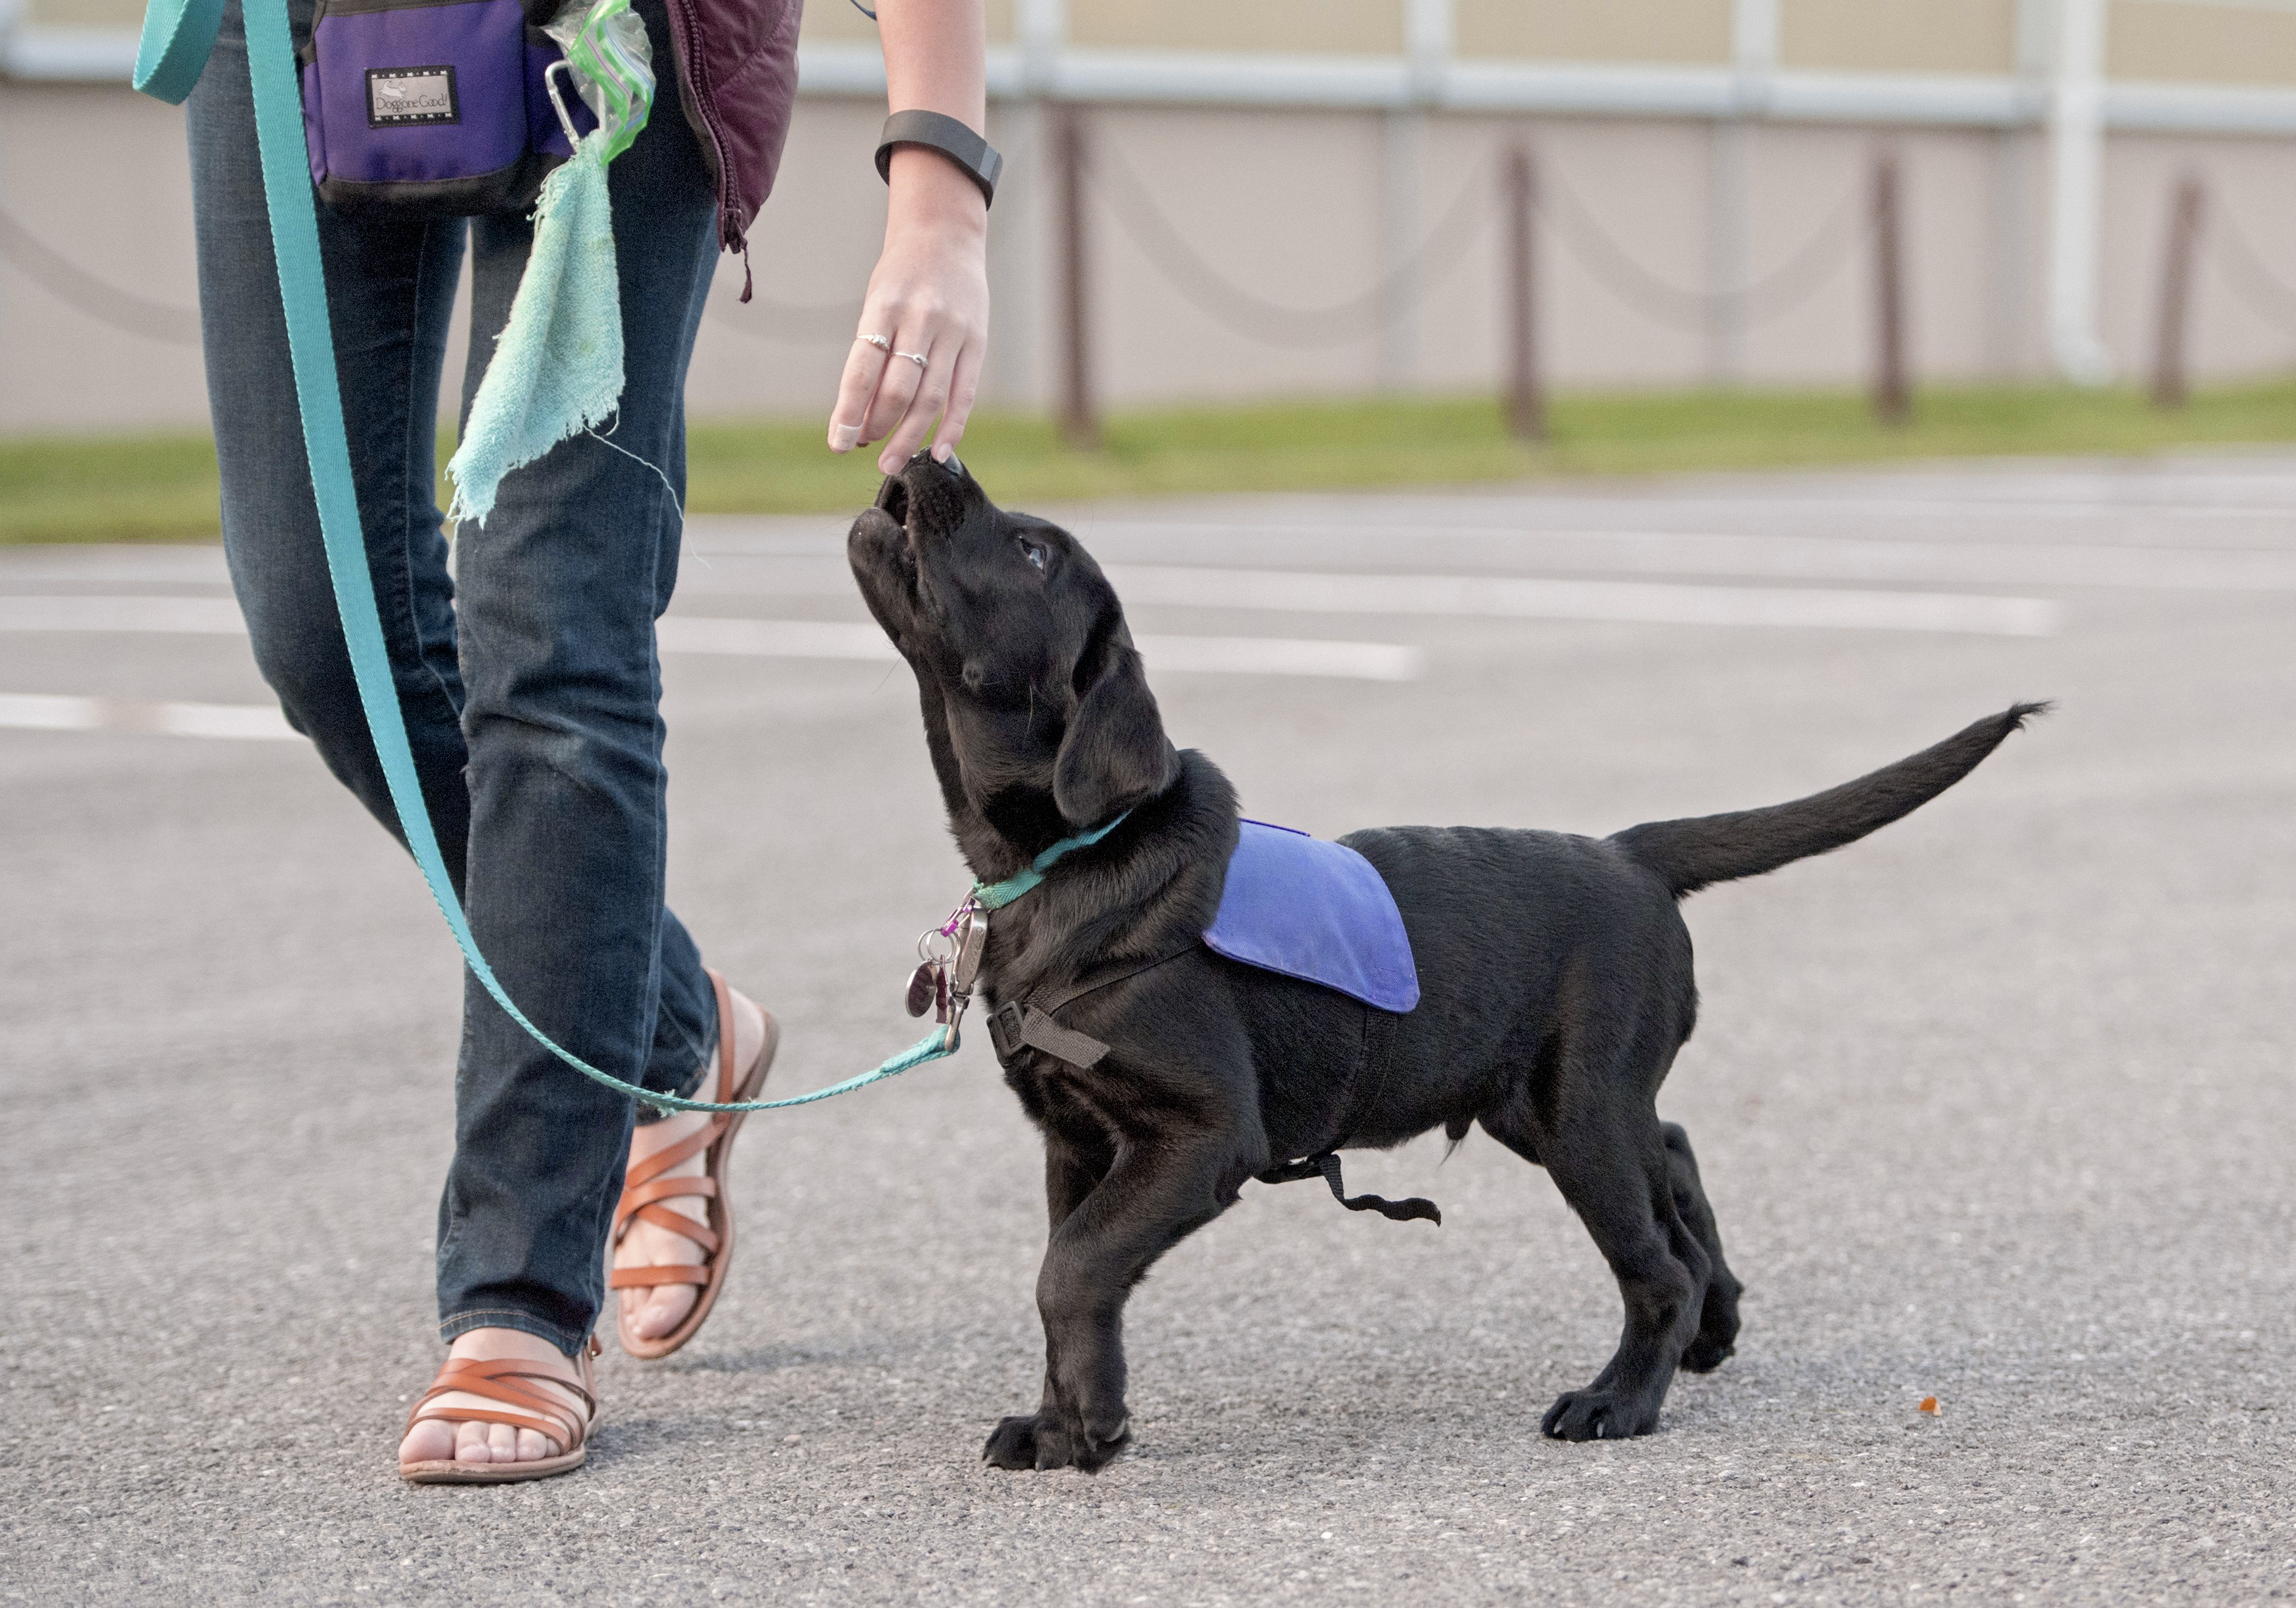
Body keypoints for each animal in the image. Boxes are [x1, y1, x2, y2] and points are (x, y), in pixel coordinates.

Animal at [854, 450, 2038, 1470]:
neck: (1064, 857)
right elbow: (1067, 1272)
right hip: (1538, 1095)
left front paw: (1092, 1428)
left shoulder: (1200, 1133)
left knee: (1654, 1260)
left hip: (1576, 1113)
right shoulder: (1075, 1138)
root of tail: (1630, 853)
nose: (934, 455)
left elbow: (1073, 1268)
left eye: (1032, 552)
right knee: (1676, 1156)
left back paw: (1617, 1400)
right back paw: (1714, 1326)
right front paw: (1058, 1425)